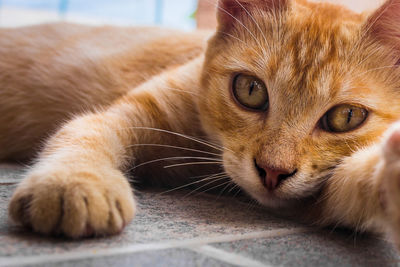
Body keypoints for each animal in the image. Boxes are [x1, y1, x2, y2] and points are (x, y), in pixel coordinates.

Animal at [2, 0, 400, 251]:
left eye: (345, 117)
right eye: (250, 89)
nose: (272, 172)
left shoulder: (315, 198)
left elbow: (351, 186)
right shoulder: (125, 114)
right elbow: (85, 132)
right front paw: (71, 181)